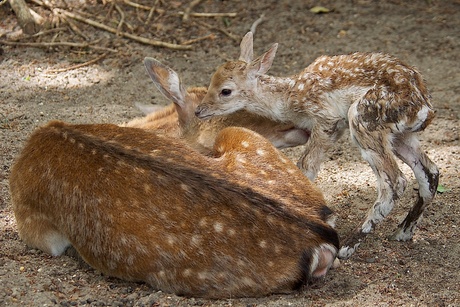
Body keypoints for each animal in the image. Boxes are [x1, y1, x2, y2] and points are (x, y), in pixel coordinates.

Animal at [194, 31, 438, 260]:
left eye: (226, 90)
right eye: (211, 81)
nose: (199, 110)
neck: (289, 99)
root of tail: (425, 109)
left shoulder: (327, 120)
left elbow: (305, 166)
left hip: (363, 119)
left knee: (395, 182)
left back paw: (347, 246)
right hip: (400, 135)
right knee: (430, 171)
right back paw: (402, 232)